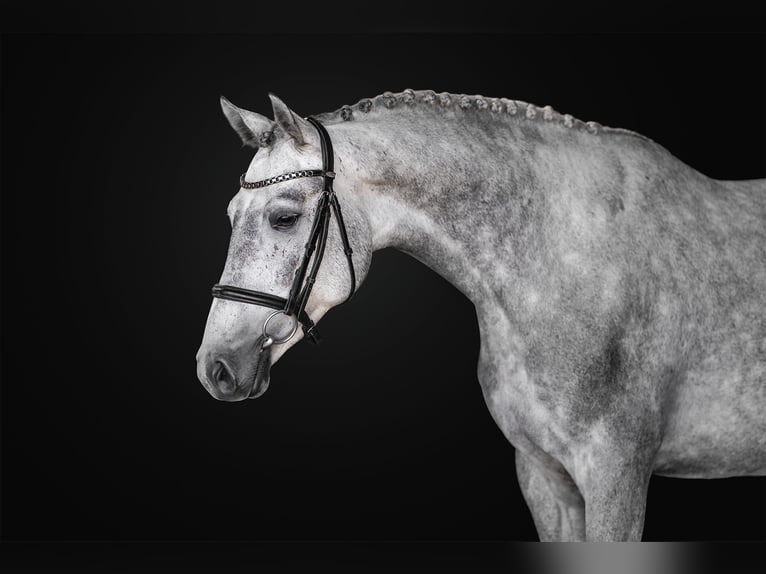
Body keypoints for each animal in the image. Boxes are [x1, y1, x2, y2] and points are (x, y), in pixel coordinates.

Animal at [196, 89, 766, 541]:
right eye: (230, 215)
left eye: (284, 217)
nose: (214, 368)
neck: (562, 260)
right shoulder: (544, 476)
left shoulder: (616, 476)